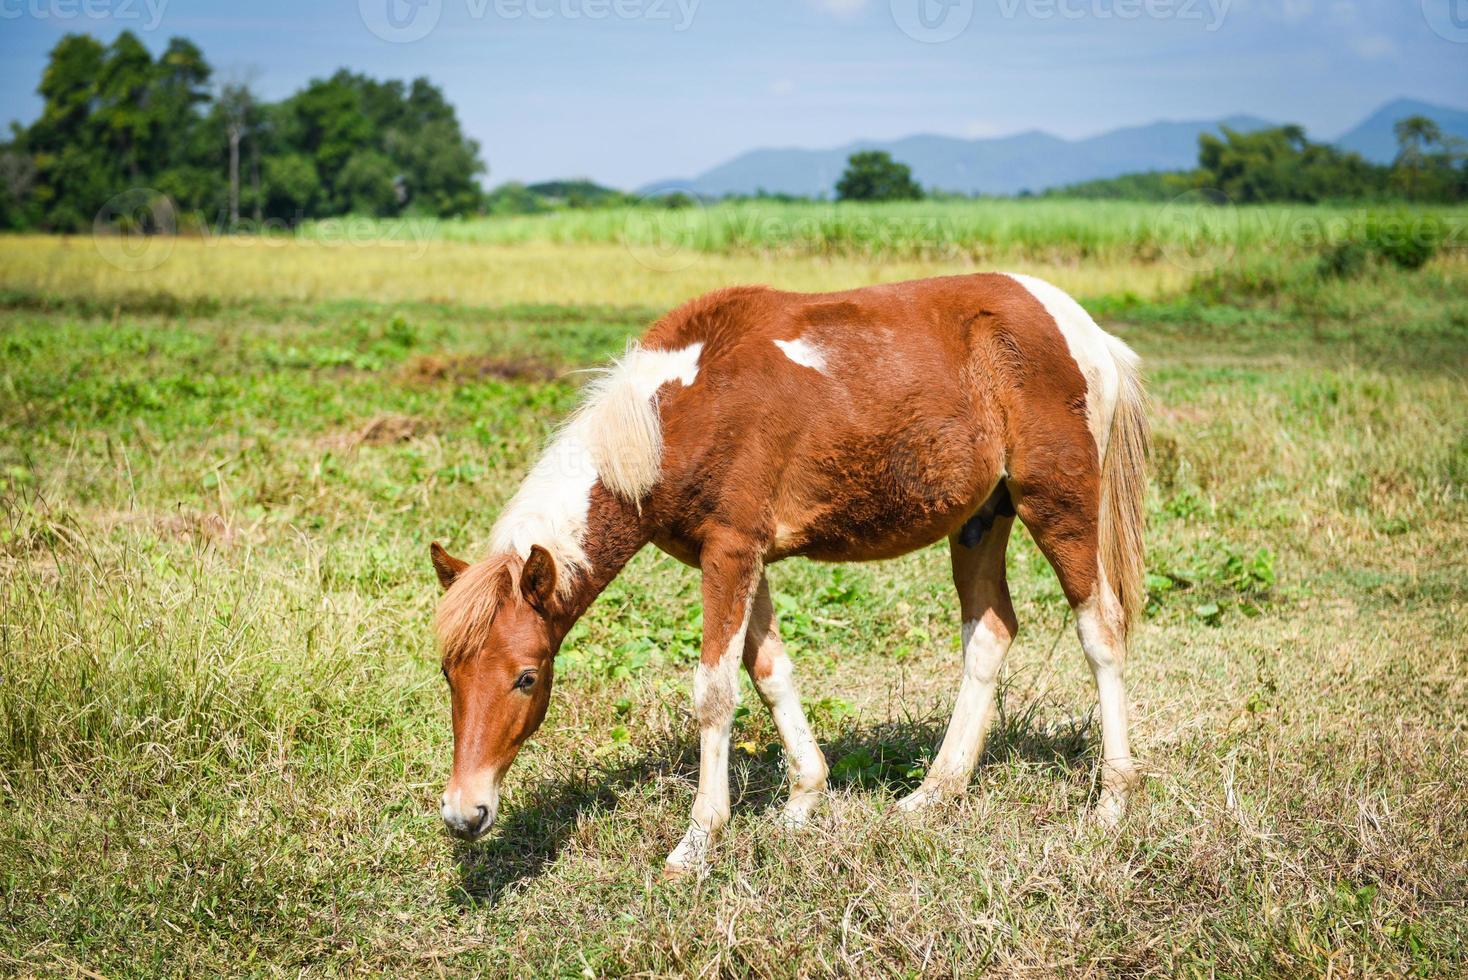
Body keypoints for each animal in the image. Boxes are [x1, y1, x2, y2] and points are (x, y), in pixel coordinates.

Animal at [428, 269, 1150, 874]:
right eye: (449, 674)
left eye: (527, 676)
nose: (465, 813)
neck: (676, 415)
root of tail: (1083, 329)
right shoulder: (743, 559)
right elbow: (770, 671)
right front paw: (804, 799)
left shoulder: (729, 554)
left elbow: (715, 692)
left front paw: (697, 842)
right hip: (980, 519)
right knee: (991, 633)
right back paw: (932, 795)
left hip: (1057, 503)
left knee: (1101, 631)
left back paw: (1112, 803)